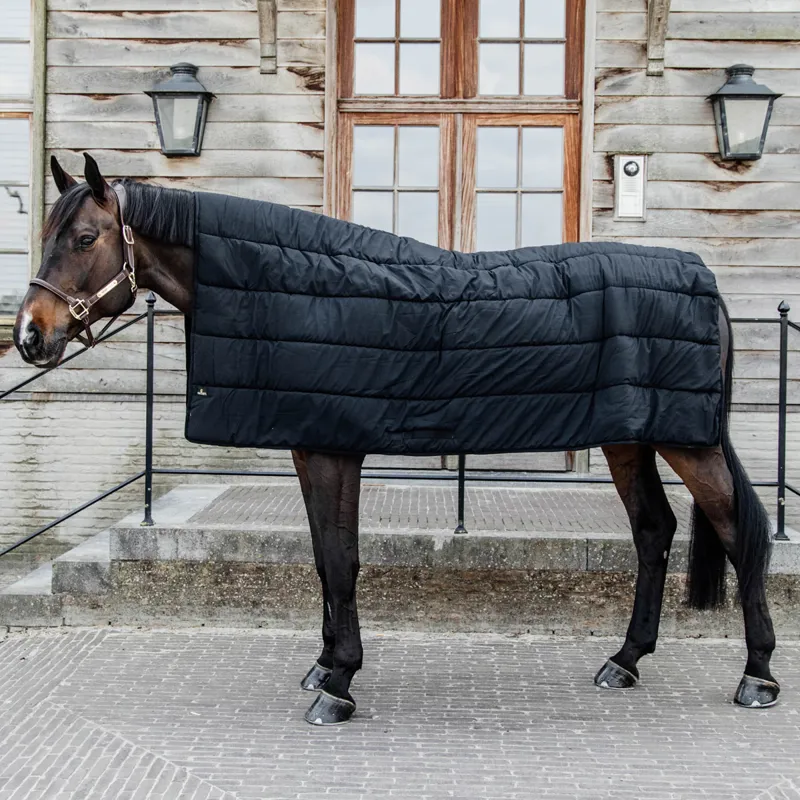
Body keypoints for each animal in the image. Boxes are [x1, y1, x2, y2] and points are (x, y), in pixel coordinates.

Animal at [13, 154, 779, 725]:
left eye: (85, 239)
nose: (29, 335)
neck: (292, 284)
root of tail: (704, 281)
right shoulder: (312, 443)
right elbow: (325, 559)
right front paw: (324, 664)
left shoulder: (333, 449)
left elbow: (341, 560)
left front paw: (338, 685)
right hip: (631, 438)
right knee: (654, 530)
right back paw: (624, 661)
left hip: (690, 442)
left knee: (739, 531)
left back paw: (759, 676)